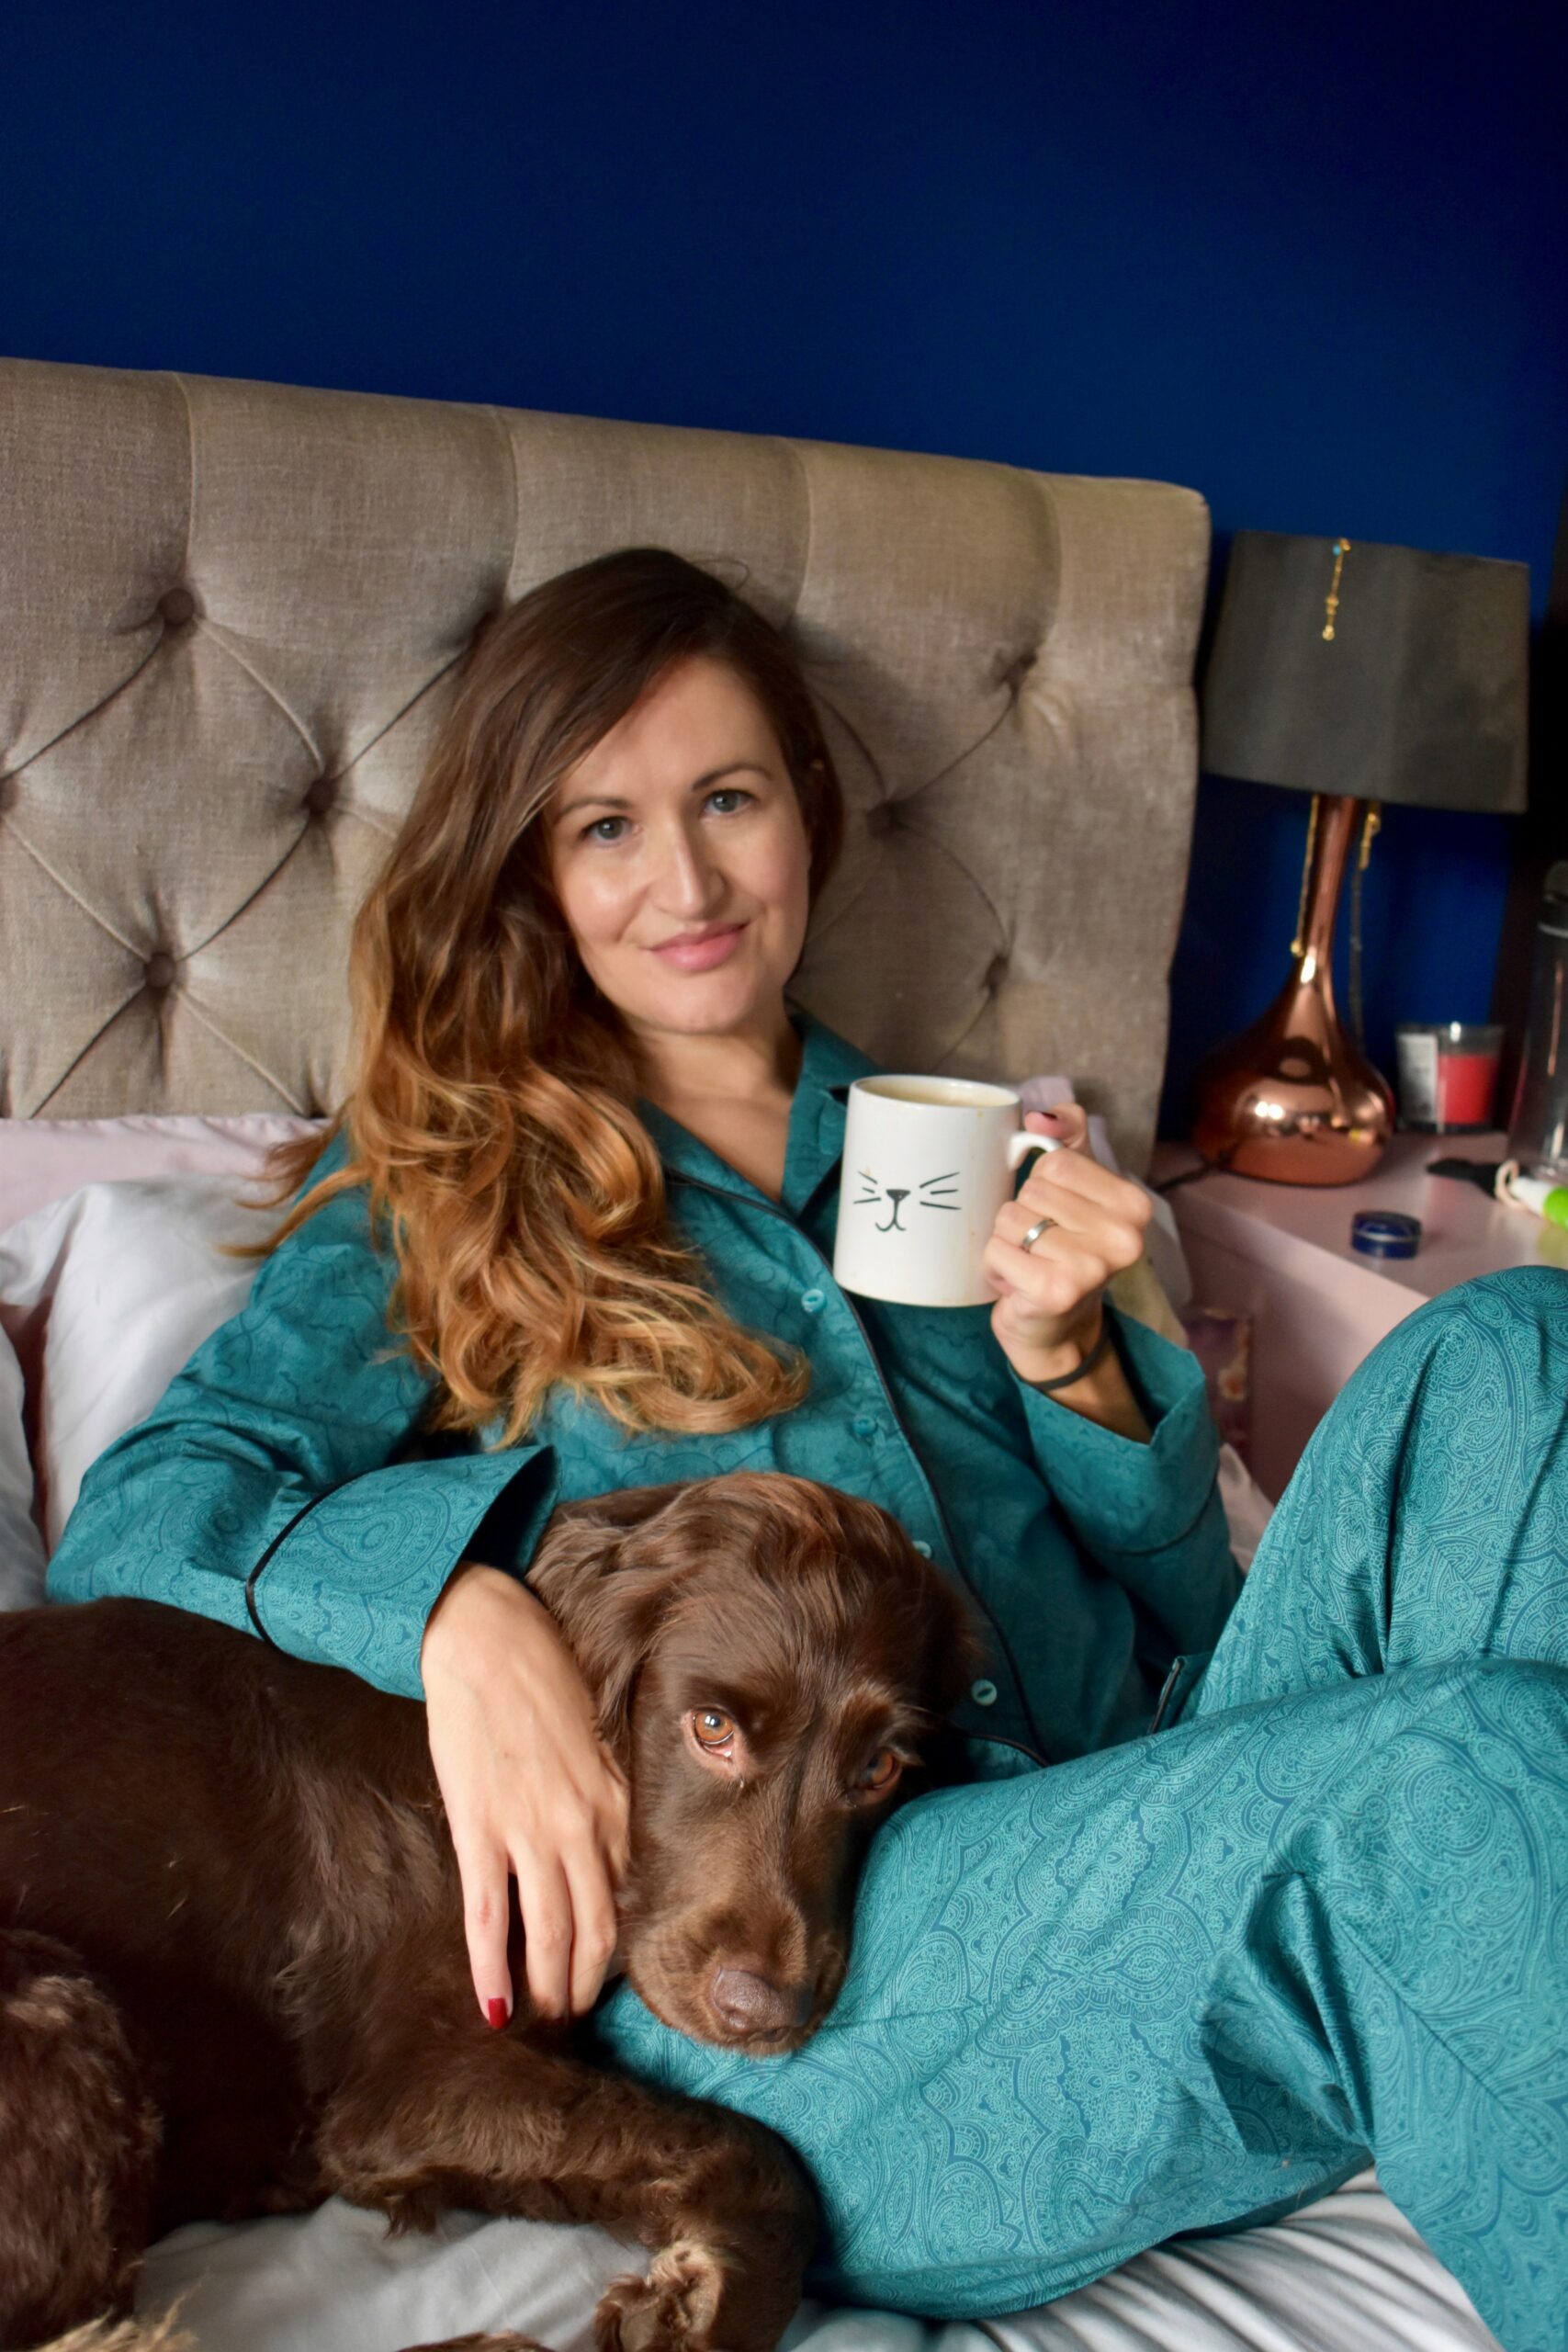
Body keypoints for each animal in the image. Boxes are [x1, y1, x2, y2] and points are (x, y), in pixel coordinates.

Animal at [0, 1476, 982, 2342]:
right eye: (711, 1728)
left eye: (879, 1769)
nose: (764, 2013)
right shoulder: (408, 2086)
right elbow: (761, 2159)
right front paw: (712, 2313)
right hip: (60, 2004)